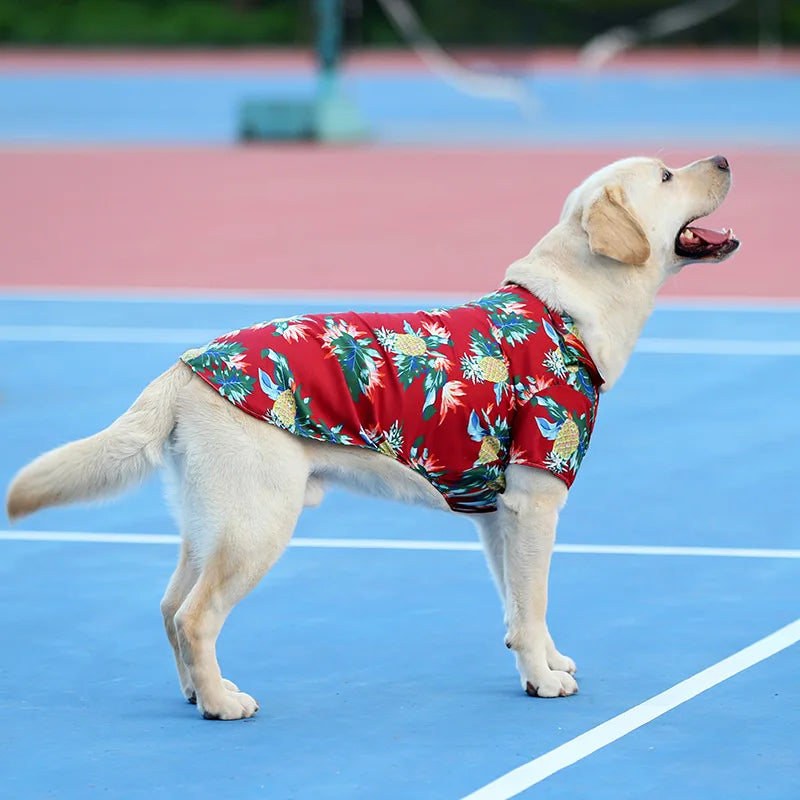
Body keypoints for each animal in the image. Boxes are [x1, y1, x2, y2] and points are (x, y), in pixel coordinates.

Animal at [9, 155, 740, 720]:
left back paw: (197, 691)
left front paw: (546, 659)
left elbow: (517, 605)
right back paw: (221, 703)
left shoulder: (497, 515)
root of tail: (182, 368)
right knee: (195, 616)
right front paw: (542, 678)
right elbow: (532, 602)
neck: (565, 313)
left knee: (169, 607)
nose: (726, 159)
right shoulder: (536, 502)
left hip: (213, 520)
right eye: (667, 175)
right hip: (258, 521)